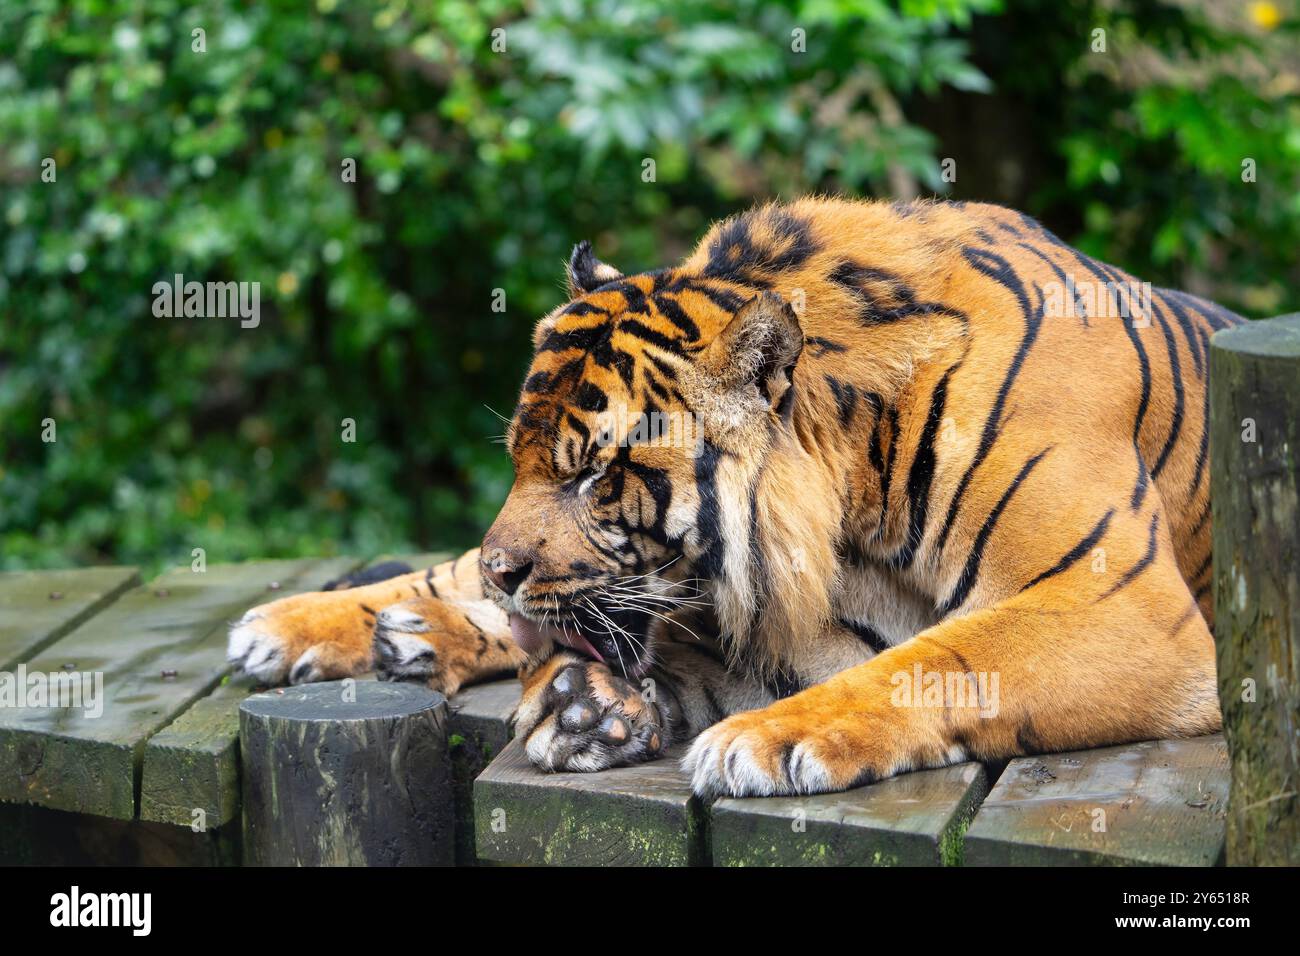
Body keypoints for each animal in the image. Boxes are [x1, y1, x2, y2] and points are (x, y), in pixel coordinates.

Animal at [227, 196, 1238, 799]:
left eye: (592, 476)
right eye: (520, 461)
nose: (511, 572)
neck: (861, 477)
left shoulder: (1120, 602)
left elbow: (940, 661)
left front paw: (755, 740)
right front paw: (589, 705)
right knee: (455, 575)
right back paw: (301, 628)